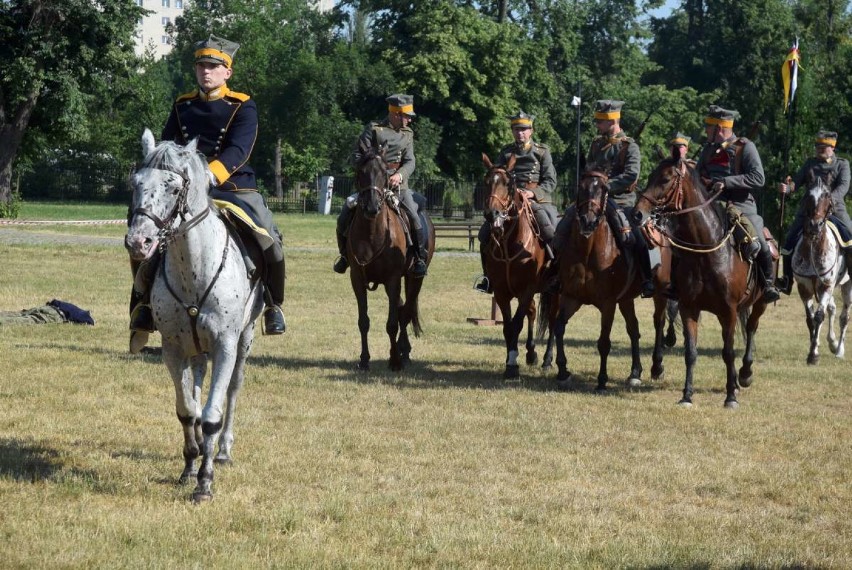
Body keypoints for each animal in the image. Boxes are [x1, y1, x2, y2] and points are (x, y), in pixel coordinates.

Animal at [348, 139, 436, 366]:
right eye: (361, 171)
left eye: (385, 173)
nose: (372, 207)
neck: (372, 233)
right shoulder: (357, 278)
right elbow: (363, 321)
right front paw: (364, 359)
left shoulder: (393, 279)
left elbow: (393, 323)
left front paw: (395, 360)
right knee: (402, 307)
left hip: (414, 278)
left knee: (406, 311)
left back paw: (403, 352)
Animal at [480, 154, 552, 378]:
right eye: (486, 182)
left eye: (508, 184)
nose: (492, 214)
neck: (509, 244)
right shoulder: (502, 292)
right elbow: (508, 327)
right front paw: (511, 359)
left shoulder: (527, 289)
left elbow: (517, 323)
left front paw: (512, 365)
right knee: (533, 311)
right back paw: (531, 353)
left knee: (555, 321)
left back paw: (547, 359)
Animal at [552, 169, 672, 390]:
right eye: (581, 188)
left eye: (604, 190)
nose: (587, 221)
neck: (588, 252)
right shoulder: (571, 297)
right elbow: (559, 327)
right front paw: (563, 370)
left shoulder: (608, 304)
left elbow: (604, 342)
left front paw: (602, 379)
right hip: (626, 299)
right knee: (634, 329)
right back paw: (635, 372)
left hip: (660, 293)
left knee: (658, 323)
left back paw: (656, 367)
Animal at [632, 158, 764, 406]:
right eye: (651, 175)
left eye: (665, 178)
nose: (637, 214)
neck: (708, 253)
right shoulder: (689, 308)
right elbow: (690, 352)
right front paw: (687, 395)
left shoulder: (728, 311)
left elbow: (728, 352)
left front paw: (730, 397)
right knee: (659, 320)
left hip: (761, 302)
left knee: (751, 328)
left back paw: (745, 373)